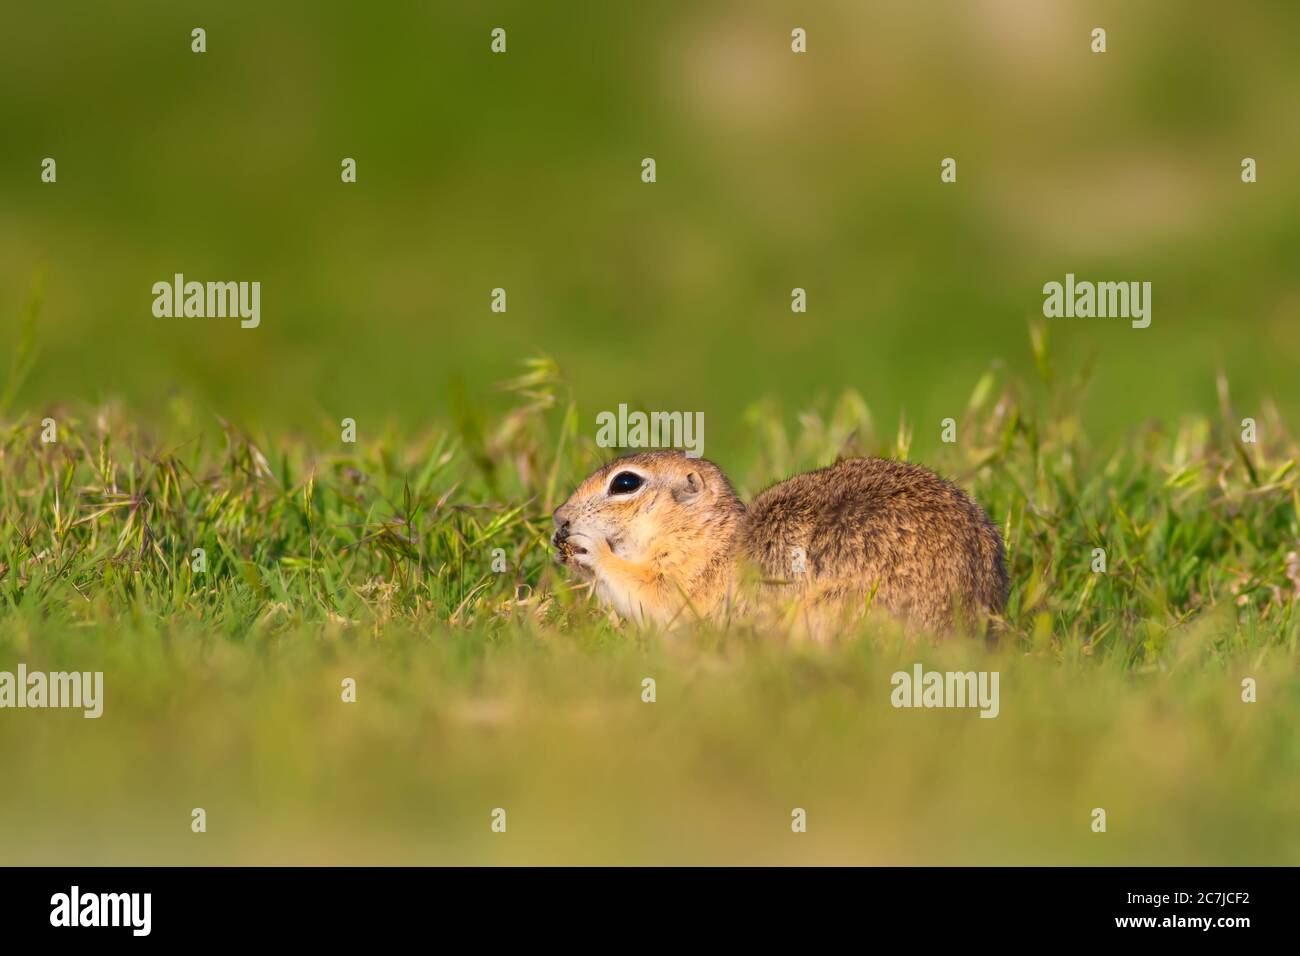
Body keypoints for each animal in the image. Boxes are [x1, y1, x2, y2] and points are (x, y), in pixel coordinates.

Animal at [552, 451, 1007, 636]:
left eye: (626, 483)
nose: (559, 516)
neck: (707, 537)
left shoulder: (685, 583)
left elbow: (650, 596)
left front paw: (588, 548)